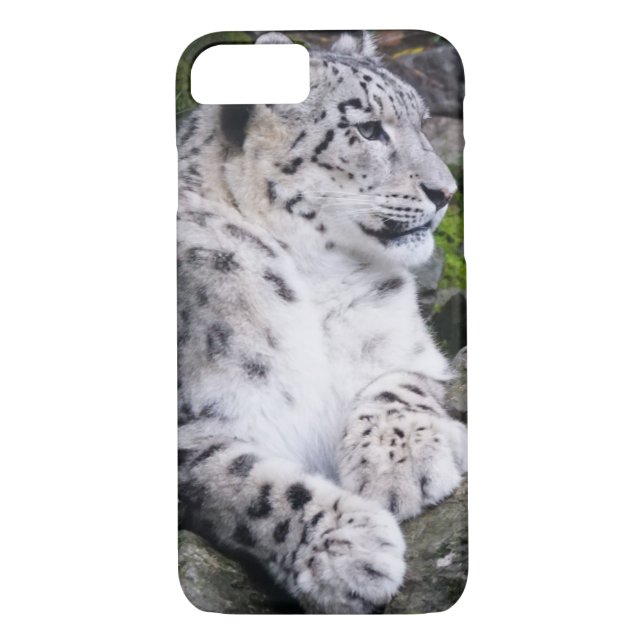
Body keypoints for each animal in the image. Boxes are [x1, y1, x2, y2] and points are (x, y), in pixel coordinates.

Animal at [177, 31, 467, 614]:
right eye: (368, 127)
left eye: (422, 122)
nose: (446, 192)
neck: (318, 283)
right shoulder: (193, 426)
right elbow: (244, 483)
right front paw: (349, 550)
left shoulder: (415, 352)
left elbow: (399, 384)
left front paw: (401, 466)